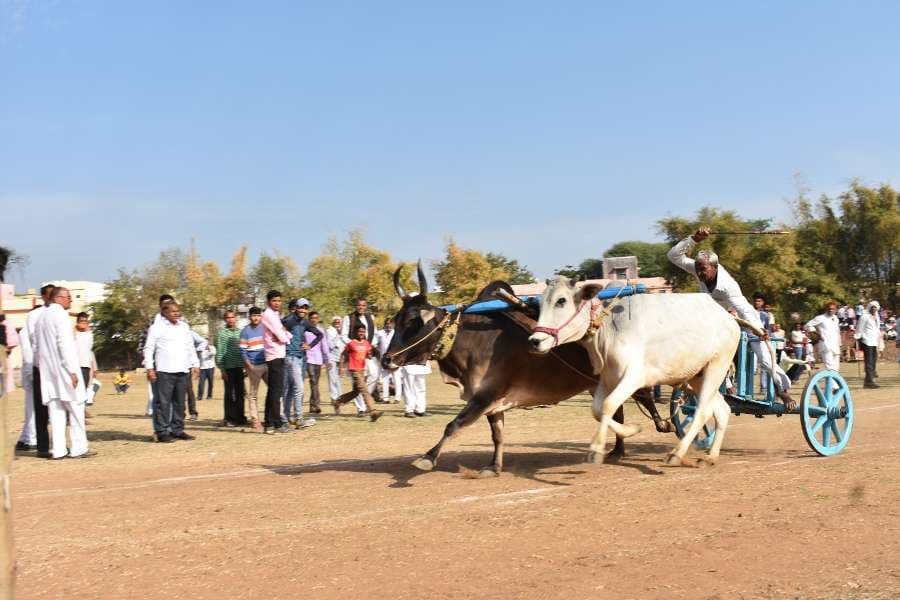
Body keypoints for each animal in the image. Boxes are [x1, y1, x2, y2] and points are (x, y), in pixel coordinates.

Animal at [384, 264, 672, 476]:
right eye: (396, 320)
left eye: (413, 321)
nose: (387, 359)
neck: (471, 340)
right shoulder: (493, 401)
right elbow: (497, 435)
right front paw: (493, 466)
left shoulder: (485, 396)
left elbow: (453, 425)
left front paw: (427, 458)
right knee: (617, 411)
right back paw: (617, 450)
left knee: (645, 398)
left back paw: (664, 425)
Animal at [528, 278, 740, 466]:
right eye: (540, 301)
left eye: (561, 301)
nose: (535, 341)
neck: (609, 330)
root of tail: (729, 318)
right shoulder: (607, 380)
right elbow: (597, 410)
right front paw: (631, 430)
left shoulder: (634, 378)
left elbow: (608, 405)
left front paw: (596, 448)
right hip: (697, 376)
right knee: (722, 410)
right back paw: (710, 457)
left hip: (716, 368)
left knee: (702, 411)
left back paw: (677, 454)